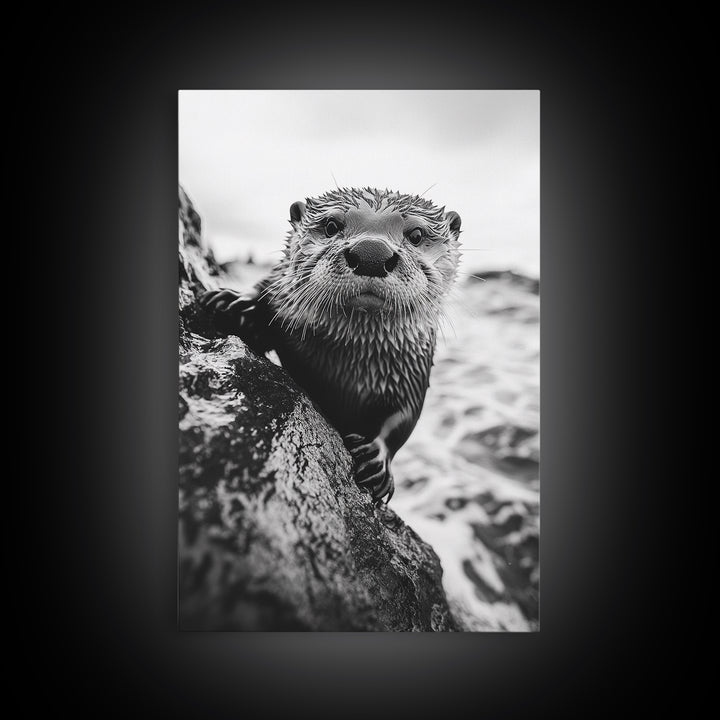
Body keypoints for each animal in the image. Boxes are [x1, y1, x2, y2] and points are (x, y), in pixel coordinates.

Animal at [201, 187, 461, 504]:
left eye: (416, 234)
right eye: (331, 225)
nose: (371, 253)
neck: (345, 363)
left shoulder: (412, 370)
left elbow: (403, 418)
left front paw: (376, 459)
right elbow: (266, 288)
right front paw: (236, 303)